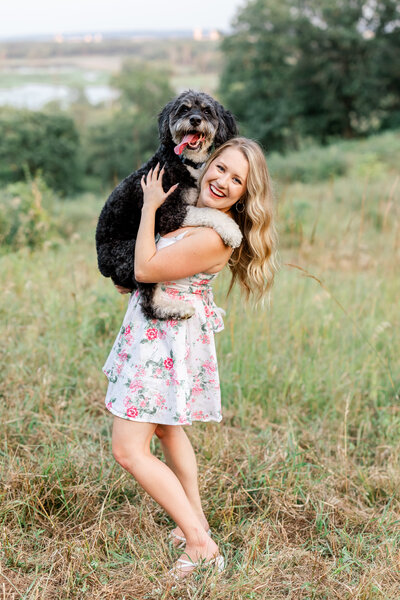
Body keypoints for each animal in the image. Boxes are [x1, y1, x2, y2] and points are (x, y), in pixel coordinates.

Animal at [95, 89, 242, 322]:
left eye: (206, 111)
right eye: (184, 109)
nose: (195, 119)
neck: (184, 162)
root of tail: (102, 264)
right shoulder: (168, 214)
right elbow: (206, 211)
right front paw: (231, 230)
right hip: (132, 253)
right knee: (148, 302)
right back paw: (177, 309)